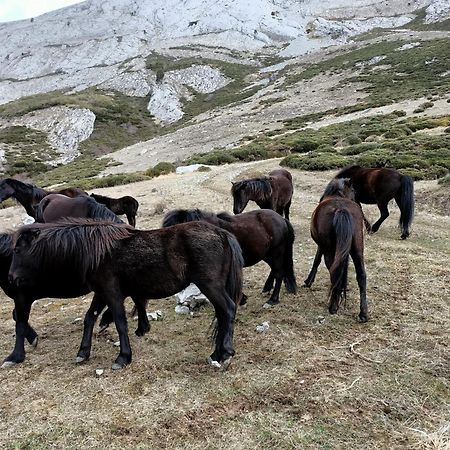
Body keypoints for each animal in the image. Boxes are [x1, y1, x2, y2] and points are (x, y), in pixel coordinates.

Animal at [7, 219, 244, 370]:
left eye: (18, 250)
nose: (11, 278)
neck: (98, 252)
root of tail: (222, 233)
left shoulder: (112, 293)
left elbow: (120, 322)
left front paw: (123, 357)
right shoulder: (101, 293)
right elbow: (90, 318)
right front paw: (83, 353)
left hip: (210, 285)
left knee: (228, 310)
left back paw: (225, 354)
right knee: (222, 314)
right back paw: (216, 354)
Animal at [163, 209, 298, 308]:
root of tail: (282, 219)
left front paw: (241, 299)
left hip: (276, 253)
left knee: (279, 272)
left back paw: (273, 299)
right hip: (267, 254)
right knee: (275, 270)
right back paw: (267, 288)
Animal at [302, 178, 370, 322]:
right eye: (354, 190)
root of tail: (341, 209)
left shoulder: (321, 246)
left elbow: (316, 260)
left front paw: (308, 281)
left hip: (330, 249)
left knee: (334, 272)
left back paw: (333, 306)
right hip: (357, 249)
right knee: (361, 275)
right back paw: (363, 313)